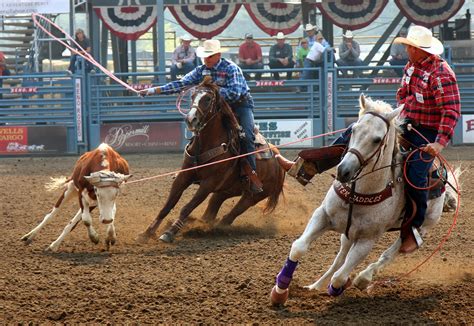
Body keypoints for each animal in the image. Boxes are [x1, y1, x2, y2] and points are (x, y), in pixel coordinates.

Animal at [137, 77, 286, 243]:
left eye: (208, 99)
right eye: (192, 96)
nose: (191, 119)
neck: (206, 144)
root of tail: (279, 162)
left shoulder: (208, 183)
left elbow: (187, 207)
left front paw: (170, 232)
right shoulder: (184, 176)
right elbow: (168, 205)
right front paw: (148, 232)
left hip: (254, 196)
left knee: (231, 215)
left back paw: (212, 229)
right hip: (226, 190)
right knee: (212, 209)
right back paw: (200, 225)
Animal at [270, 95, 460, 306]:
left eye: (377, 140)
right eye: (353, 129)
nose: (343, 171)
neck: (360, 191)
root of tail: (441, 174)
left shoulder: (367, 240)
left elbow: (340, 277)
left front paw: (340, 287)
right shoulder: (323, 215)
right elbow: (298, 248)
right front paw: (280, 291)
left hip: (423, 226)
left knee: (391, 252)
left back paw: (363, 278)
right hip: (348, 233)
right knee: (340, 258)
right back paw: (316, 286)